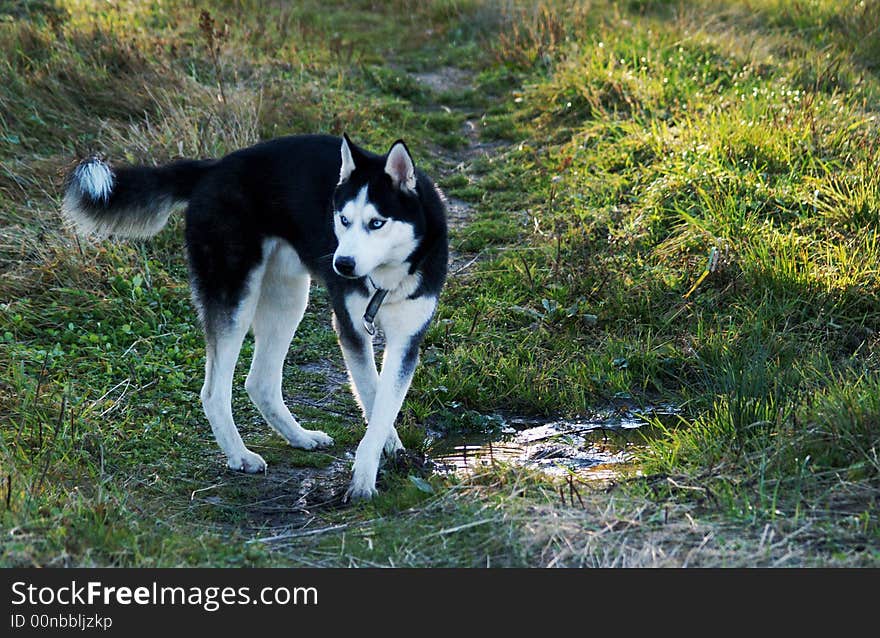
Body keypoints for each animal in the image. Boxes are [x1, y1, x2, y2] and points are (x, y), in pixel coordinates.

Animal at [63, 135, 446, 502]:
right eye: (343, 220)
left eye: (376, 223)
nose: (343, 265)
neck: (386, 277)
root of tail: (214, 167)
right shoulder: (352, 328)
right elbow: (371, 394)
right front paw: (368, 473)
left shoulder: (406, 341)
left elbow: (382, 403)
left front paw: (388, 451)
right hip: (237, 301)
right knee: (214, 392)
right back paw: (240, 456)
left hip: (289, 299)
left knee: (259, 382)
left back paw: (299, 436)